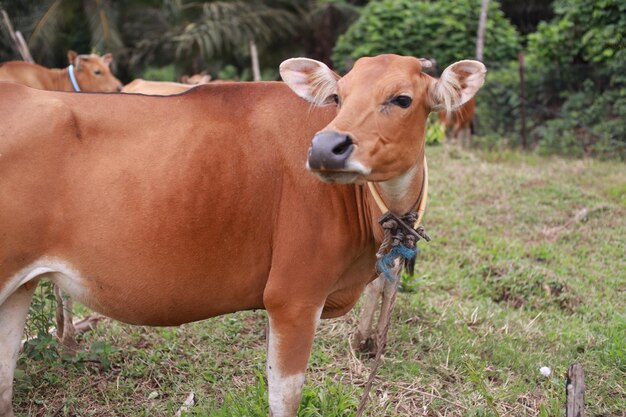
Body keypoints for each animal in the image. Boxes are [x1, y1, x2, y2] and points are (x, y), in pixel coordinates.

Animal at [0, 53, 482, 414]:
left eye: (401, 99)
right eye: (338, 97)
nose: (326, 148)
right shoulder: (293, 298)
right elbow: (284, 399)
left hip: (18, 289)